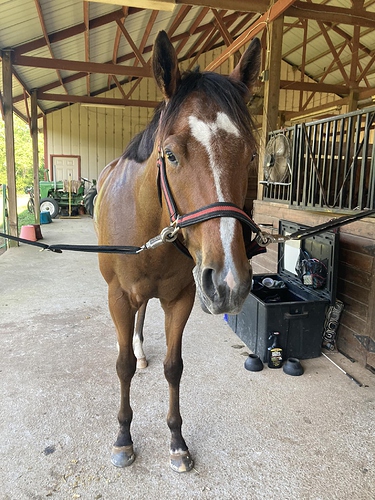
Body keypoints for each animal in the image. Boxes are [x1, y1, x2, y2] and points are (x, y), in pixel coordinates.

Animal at [94, 32, 262, 472]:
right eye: (169, 154)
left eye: (252, 154)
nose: (229, 283)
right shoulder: (118, 296)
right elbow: (121, 367)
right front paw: (123, 438)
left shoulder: (181, 298)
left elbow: (174, 367)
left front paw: (176, 440)